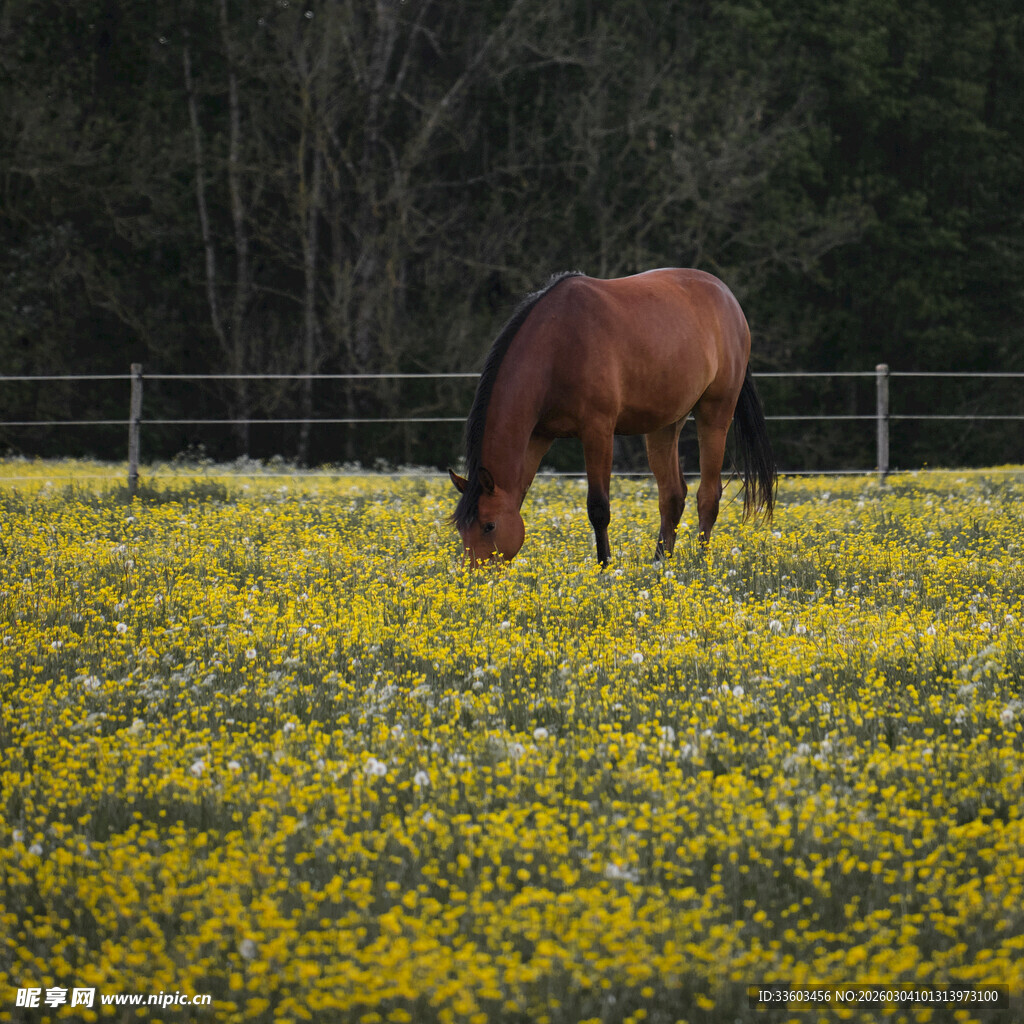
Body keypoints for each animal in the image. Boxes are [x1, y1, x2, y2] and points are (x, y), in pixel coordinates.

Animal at [448, 268, 776, 566]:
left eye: (489, 526)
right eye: (462, 529)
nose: (474, 578)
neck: (558, 345)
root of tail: (728, 299)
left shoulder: (598, 431)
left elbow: (598, 508)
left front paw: (605, 566)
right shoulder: (538, 437)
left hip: (715, 414)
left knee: (708, 495)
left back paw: (701, 562)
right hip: (666, 424)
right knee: (672, 496)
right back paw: (660, 564)